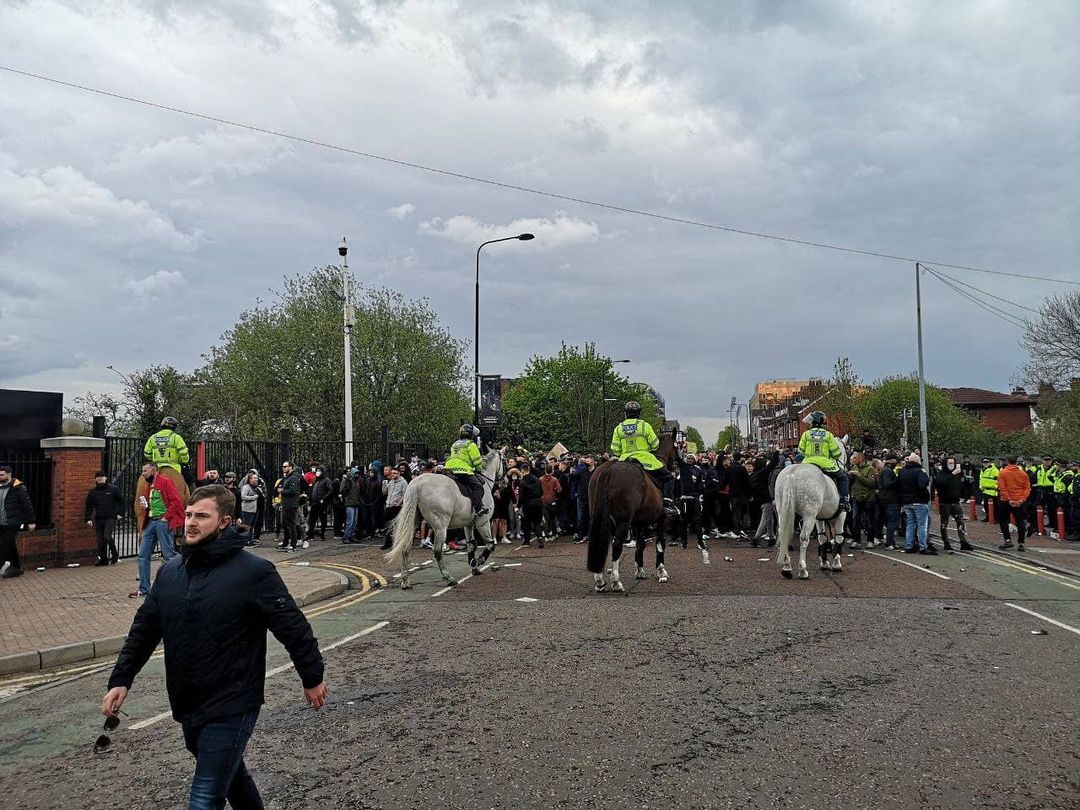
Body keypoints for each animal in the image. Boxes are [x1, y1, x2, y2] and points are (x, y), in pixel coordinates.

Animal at [388, 451, 505, 591]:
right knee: (438, 551)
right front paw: (479, 561)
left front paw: (474, 566)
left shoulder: (468, 525)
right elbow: (490, 544)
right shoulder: (483, 522)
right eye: (504, 460)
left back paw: (405, 581)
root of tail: (418, 484)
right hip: (440, 527)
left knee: (405, 548)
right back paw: (448, 578)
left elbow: (471, 544)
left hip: (413, 522)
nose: (504, 481)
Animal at [587, 434, 678, 591]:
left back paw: (600, 581)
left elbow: (640, 544)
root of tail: (608, 471)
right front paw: (661, 571)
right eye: (678, 446)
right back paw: (616, 582)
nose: (677, 466)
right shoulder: (661, 518)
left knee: (604, 542)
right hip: (623, 521)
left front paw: (640, 570)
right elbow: (660, 543)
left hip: (601, 517)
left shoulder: (637, 522)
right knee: (616, 545)